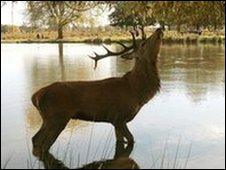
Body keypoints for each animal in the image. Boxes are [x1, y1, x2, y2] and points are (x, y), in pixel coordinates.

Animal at [30, 26, 163, 158]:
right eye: (143, 43)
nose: (159, 29)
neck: (136, 91)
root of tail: (35, 96)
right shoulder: (118, 117)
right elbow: (131, 139)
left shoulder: (117, 122)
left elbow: (120, 141)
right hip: (57, 117)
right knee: (44, 145)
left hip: (47, 118)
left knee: (35, 139)